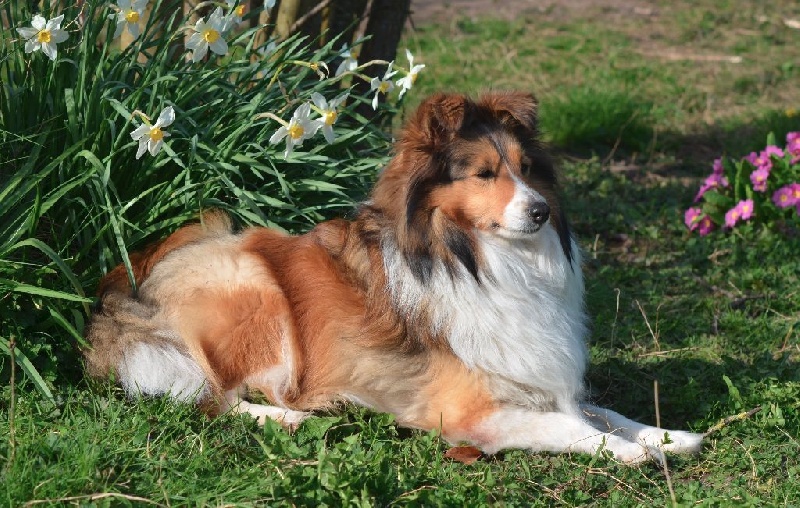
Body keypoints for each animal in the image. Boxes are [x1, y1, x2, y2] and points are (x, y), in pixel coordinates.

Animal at [84, 92, 704, 464]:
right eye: (484, 174)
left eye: (527, 170)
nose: (540, 212)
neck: (481, 260)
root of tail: (130, 283)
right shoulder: (470, 414)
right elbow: (571, 428)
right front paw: (630, 452)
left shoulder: (536, 376)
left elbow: (607, 412)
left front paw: (669, 436)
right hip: (253, 290)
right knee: (209, 396)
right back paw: (286, 416)